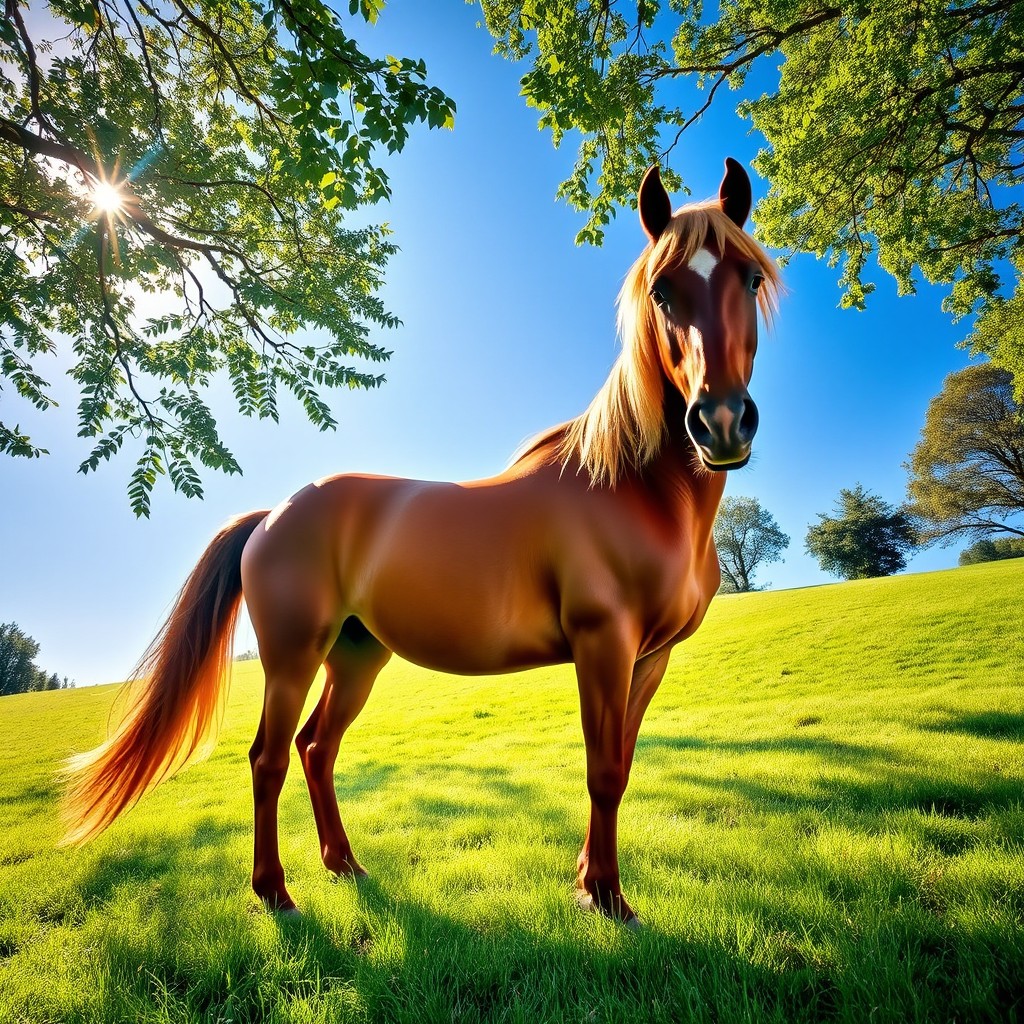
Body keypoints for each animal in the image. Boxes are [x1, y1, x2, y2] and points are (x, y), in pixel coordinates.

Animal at [64, 159, 781, 925]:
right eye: (661, 290)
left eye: (750, 278)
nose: (721, 421)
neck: (631, 488)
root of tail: (272, 514)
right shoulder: (603, 646)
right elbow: (604, 770)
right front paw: (610, 900)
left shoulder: (650, 659)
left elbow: (621, 763)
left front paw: (591, 881)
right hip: (292, 659)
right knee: (269, 757)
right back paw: (276, 892)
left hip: (356, 657)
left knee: (317, 748)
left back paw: (345, 864)